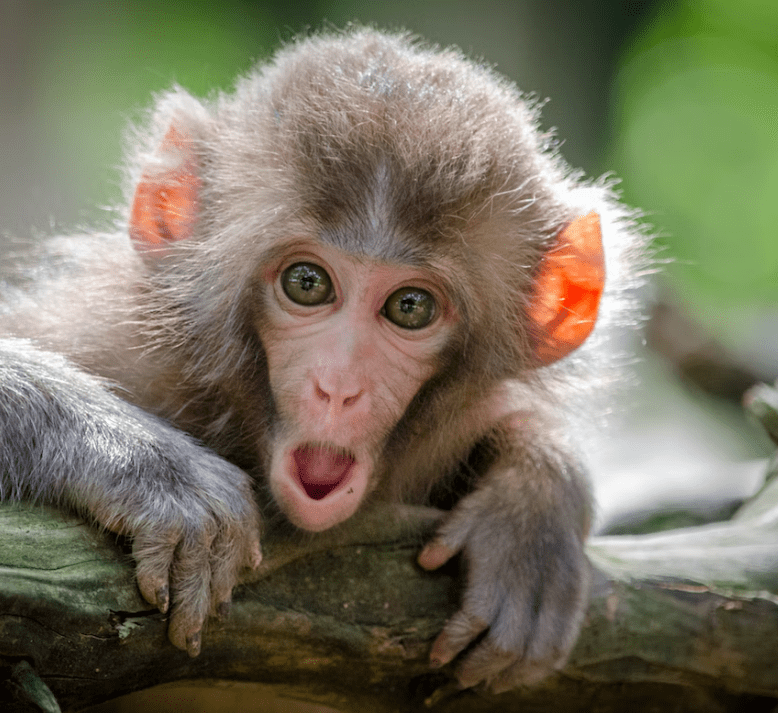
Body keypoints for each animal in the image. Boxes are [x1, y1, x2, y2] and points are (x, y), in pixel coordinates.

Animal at [0, 28, 643, 692]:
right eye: (307, 283)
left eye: (410, 307)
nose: (339, 386)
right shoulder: (106, 337)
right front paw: (145, 463)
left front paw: (533, 507)